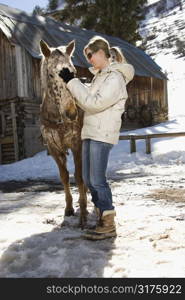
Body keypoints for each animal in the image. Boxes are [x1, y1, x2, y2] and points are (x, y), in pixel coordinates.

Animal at [38, 39, 87, 227]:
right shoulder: (54, 149)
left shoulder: (77, 144)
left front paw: (84, 210)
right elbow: (64, 176)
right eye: (52, 75)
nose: (72, 112)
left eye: (73, 72)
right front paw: (69, 208)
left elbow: (79, 176)